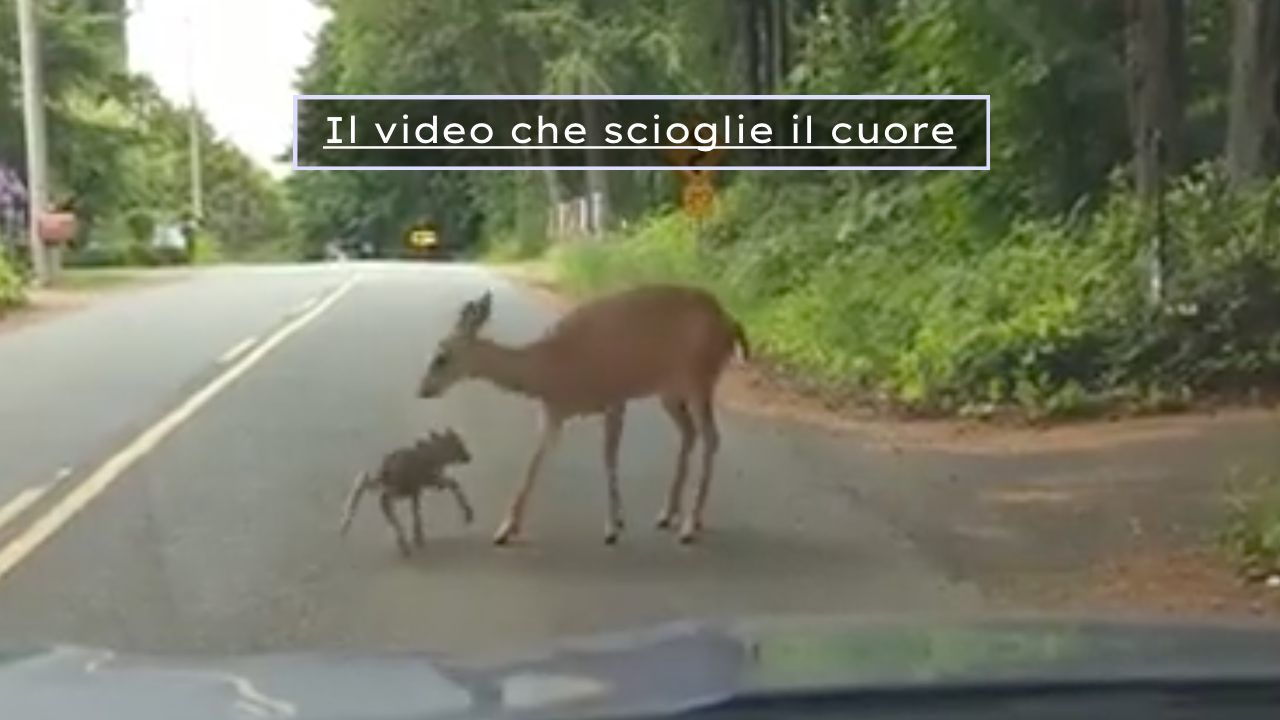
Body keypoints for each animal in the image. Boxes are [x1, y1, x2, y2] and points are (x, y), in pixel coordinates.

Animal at [339, 428, 476, 556]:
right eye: (459, 443)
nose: (468, 457)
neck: (435, 455)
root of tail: (384, 470)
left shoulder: (421, 487)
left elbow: (416, 509)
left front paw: (418, 535)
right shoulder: (427, 481)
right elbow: (453, 483)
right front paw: (468, 514)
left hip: (396, 488)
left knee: (370, 489)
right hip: (399, 488)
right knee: (383, 501)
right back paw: (403, 544)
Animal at [417, 284, 749, 546]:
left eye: (441, 357)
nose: (422, 390)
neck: (548, 367)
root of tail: (729, 322)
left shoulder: (614, 397)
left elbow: (608, 458)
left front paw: (612, 527)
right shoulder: (554, 413)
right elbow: (535, 462)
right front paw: (505, 529)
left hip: (699, 379)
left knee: (711, 437)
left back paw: (690, 525)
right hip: (669, 391)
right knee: (690, 433)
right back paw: (668, 514)